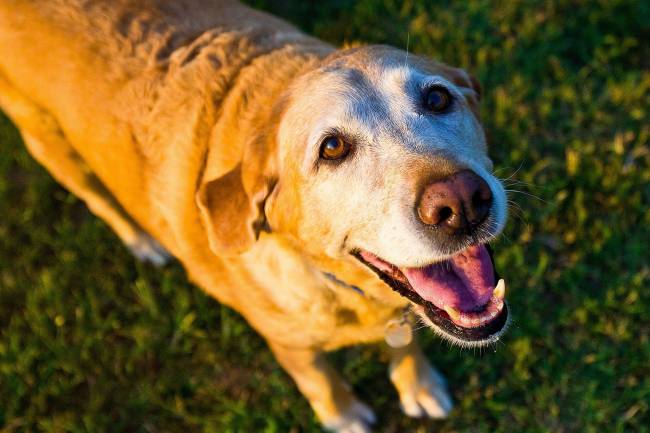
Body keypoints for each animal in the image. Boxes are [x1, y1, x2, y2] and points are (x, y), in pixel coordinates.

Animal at [0, 1, 506, 430]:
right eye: (332, 148)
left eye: (437, 98)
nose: (461, 203)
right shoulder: (289, 344)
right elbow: (320, 380)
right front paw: (343, 416)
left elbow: (407, 342)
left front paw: (419, 385)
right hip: (51, 144)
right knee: (99, 200)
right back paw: (143, 242)